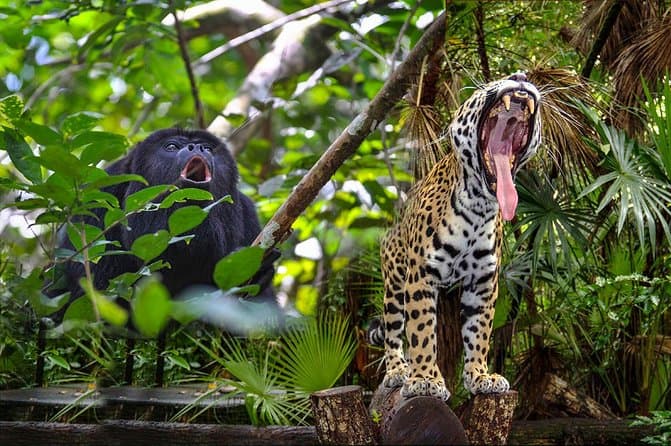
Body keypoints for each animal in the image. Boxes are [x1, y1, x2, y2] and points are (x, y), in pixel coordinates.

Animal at [375, 72, 542, 400]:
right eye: (488, 84)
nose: (520, 76)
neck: (479, 206)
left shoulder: (483, 282)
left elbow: (479, 331)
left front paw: (480, 376)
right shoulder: (421, 275)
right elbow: (422, 330)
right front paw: (425, 379)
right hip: (395, 281)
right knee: (393, 328)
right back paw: (398, 370)